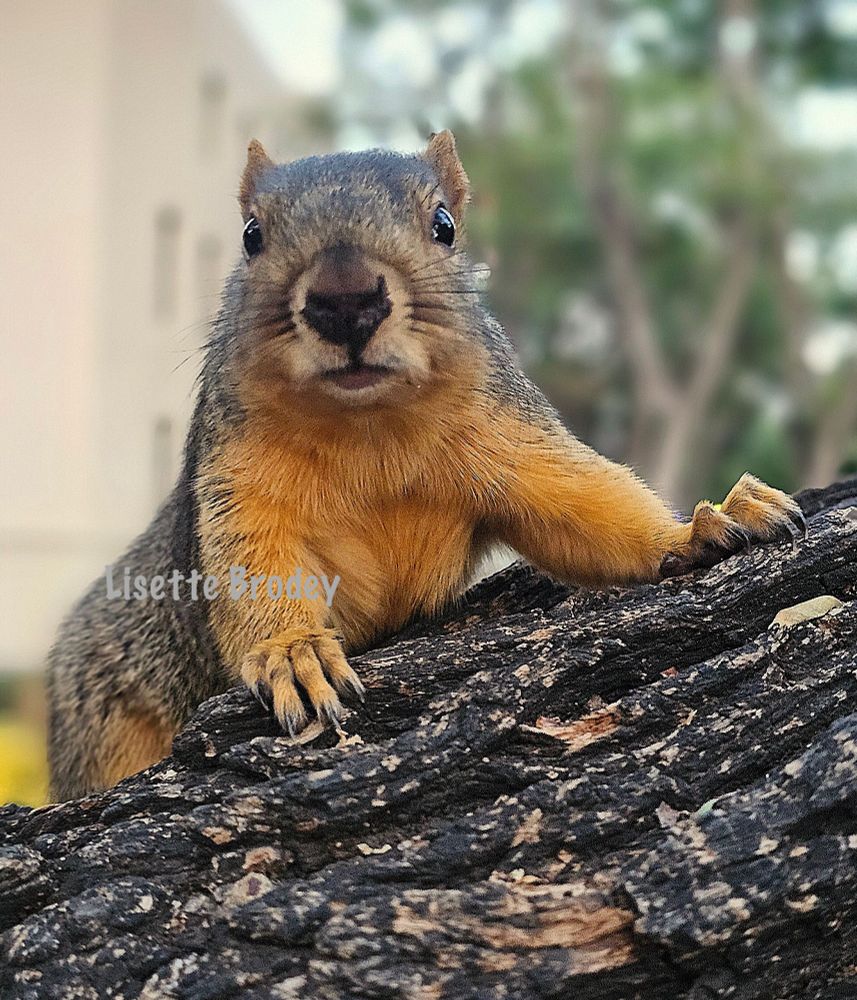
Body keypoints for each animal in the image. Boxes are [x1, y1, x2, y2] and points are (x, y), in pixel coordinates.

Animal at [46, 131, 806, 800]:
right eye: (251, 235)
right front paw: (293, 651)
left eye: (443, 225)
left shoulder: (510, 436)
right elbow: (255, 564)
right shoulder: (237, 480)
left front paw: (701, 526)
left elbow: (586, 509)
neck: (369, 426)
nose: (345, 298)